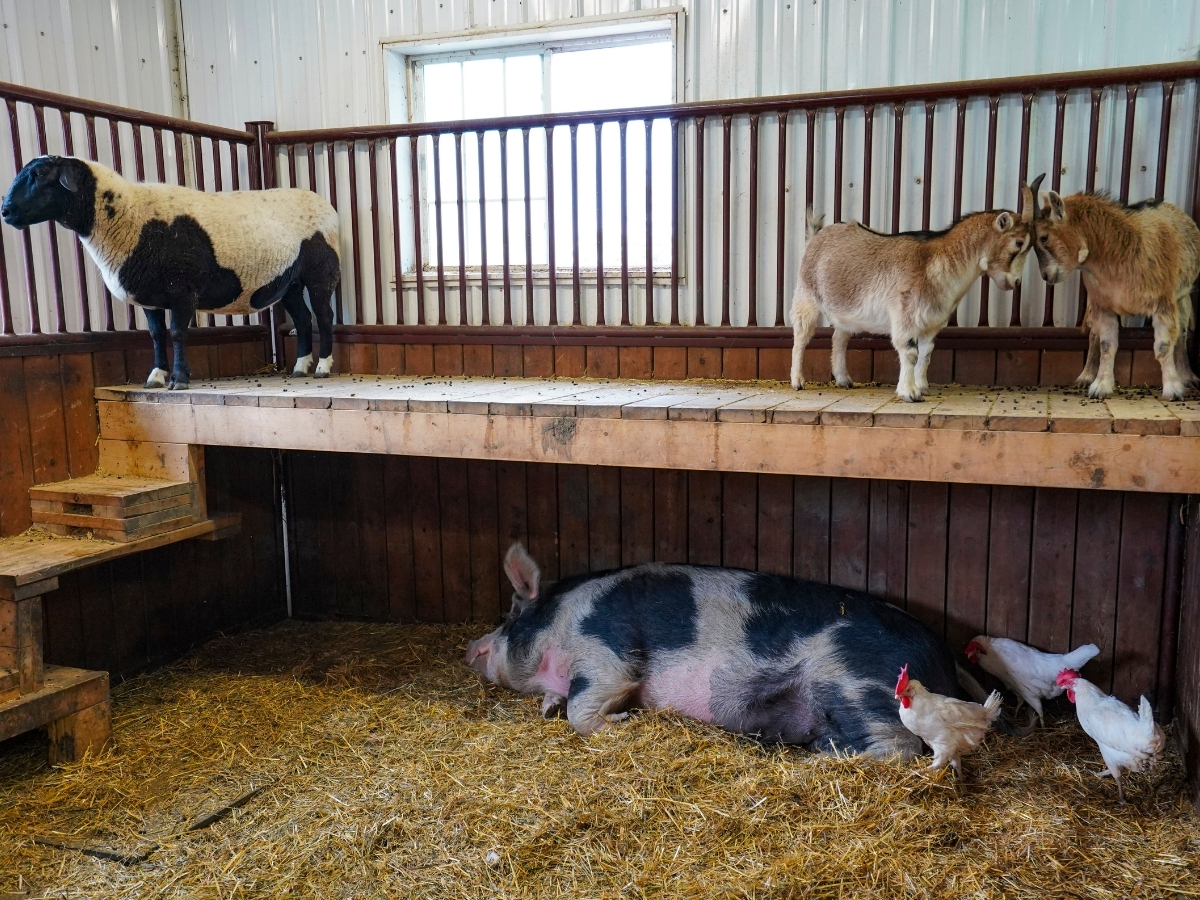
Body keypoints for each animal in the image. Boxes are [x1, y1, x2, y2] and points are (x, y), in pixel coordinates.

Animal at [2, 157, 340, 388]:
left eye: (38, 175)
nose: (5, 210)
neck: (130, 218)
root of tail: (323, 203)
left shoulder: (183, 290)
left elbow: (177, 333)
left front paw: (179, 379)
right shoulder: (150, 297)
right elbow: (156, 334)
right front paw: (156, 376)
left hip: (321, 272)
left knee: (324, 316)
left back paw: (323, 367)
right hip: (289, 281)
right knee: (302, 318)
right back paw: (300, 366)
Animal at [463, 542, 969, 763]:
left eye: (511, 615)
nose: (471, 648)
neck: (561, 618)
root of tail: (942, 659)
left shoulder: (605, 647)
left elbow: (586, 705)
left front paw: (621, 721)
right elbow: (563, 703)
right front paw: (549, 705)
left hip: (856, 679)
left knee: (900, 747)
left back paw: (815, 759)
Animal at [792, 183, 1036, 400]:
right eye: (1019, 242)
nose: (1016, 282)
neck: (935, 261)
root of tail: (815, 237)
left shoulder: (932, 321)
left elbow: (926, 354)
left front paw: (923, 387)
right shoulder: (905, 314)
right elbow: (909, 352)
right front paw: (909, 393)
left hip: (845, 308)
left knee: (839, 337)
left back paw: (844, 379)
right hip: (806, 294)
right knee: (801, 334)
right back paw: (798, 381)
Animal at [1027, 181, 1200, 400]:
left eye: (1043, 237)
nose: (1046, 275)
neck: (1119, 250)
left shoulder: (1163, 302)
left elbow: (1164, 345)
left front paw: (1173, 389)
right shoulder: (1104, 305)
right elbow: (1106, 345)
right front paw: (1100, 386)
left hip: (1182, 298)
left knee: (1183, 334)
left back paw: (1188, 376)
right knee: (1093, 334)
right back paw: (1086, 376)